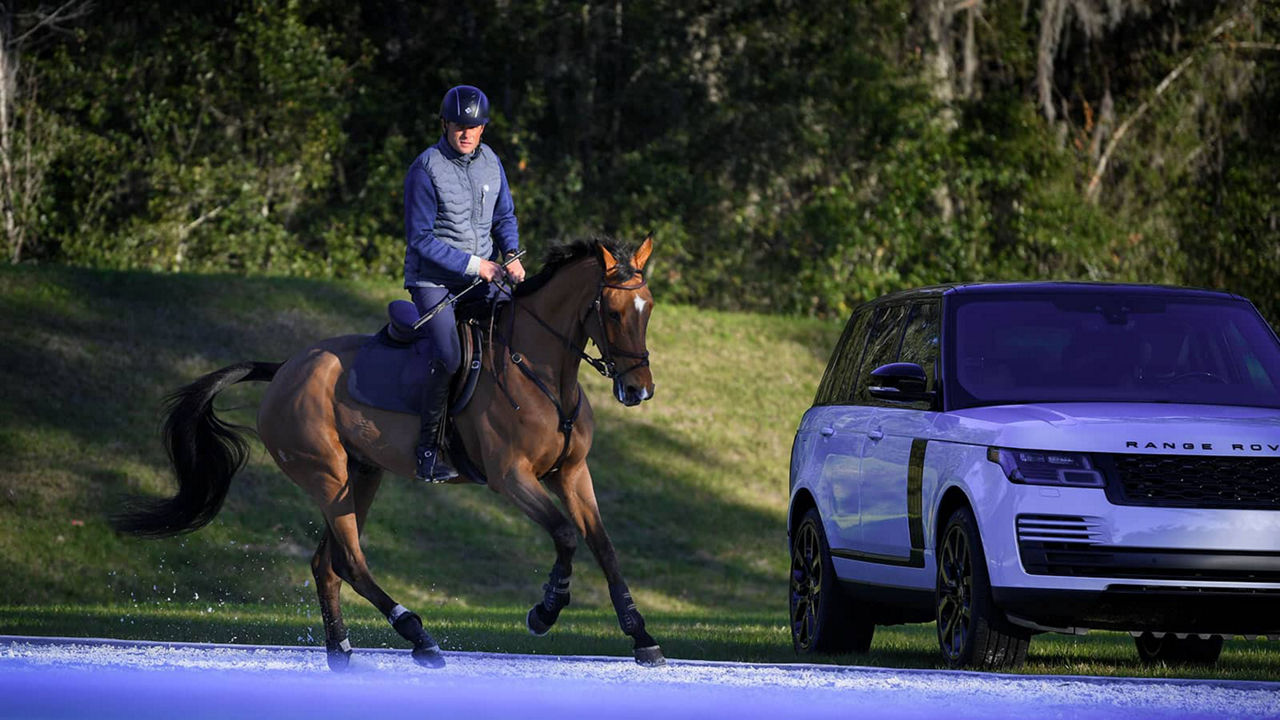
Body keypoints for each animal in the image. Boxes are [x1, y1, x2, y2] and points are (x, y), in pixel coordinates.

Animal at [113, 235, 665, 666]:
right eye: (613, 311)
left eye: (649, 308)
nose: (638, 390)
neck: (543, 373)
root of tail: (288, 366)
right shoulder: (511, 478)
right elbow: (566, 534)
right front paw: (544, 612)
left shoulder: (571, 473)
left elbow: (603, 546)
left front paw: (640, 636)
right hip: (326, 475)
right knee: (351, 562)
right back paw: (417, 636)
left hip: (362, 475)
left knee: (327, 564)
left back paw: (343, 654)